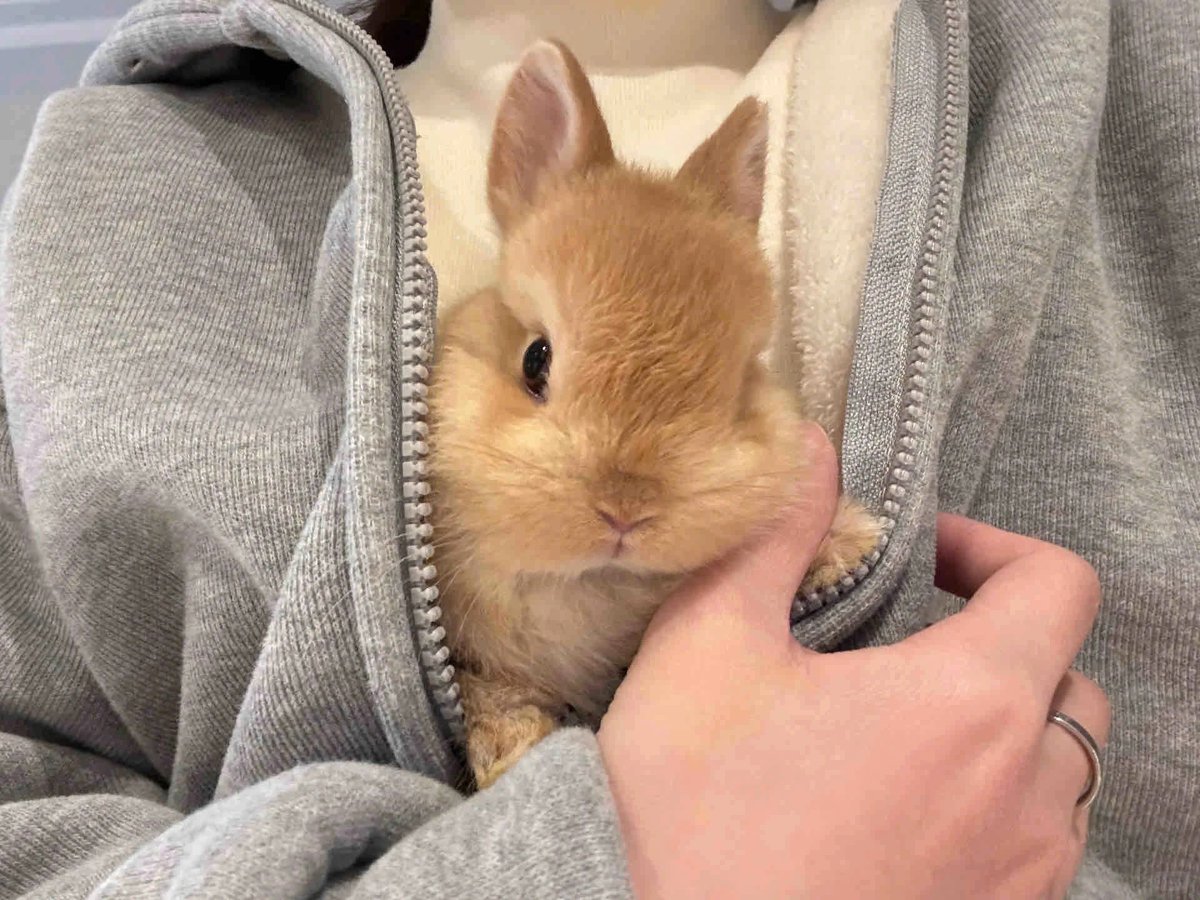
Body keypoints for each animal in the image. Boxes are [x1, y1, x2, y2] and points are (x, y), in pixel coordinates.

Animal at [428, 39, 881, 789]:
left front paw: (851, 541)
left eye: (736, 391)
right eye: (535, 360)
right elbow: (490, 694)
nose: (626, 509)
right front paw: (515, 752)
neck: (587, 583)